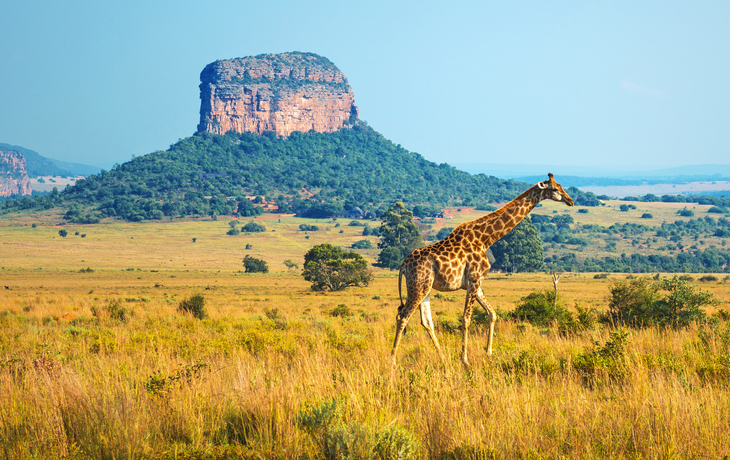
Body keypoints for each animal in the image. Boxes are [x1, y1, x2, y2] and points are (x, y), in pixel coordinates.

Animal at [391, 173, 574, 366]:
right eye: (554, 188)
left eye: (560, 186)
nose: (570, 201)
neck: (486, 239)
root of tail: (404, 265)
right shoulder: (474, 280)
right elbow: (466, 319)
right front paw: (465, 359)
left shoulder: (476, 283)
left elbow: (492, 313)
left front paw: (489, 352)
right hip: (418, 286)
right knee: (403, 316)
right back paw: (393, 360)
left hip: (425, 288)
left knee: (426, 321)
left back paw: (442, 358)